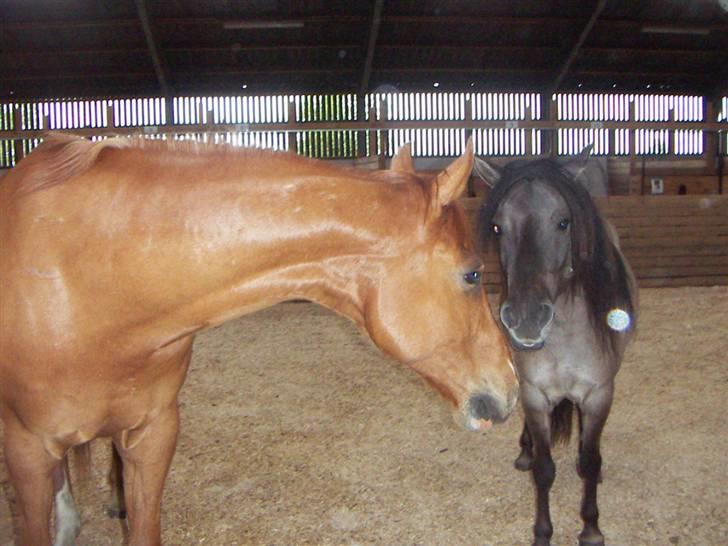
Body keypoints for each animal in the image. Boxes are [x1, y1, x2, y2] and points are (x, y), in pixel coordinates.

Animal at [474, 147, 636, 540]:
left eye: (563, 222)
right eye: (498, 227)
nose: (527, 318)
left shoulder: (598, 395)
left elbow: (590, 460)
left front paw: (591, 529)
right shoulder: (535, 394)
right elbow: (544, 469)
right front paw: (542, 533)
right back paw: (525, 450)